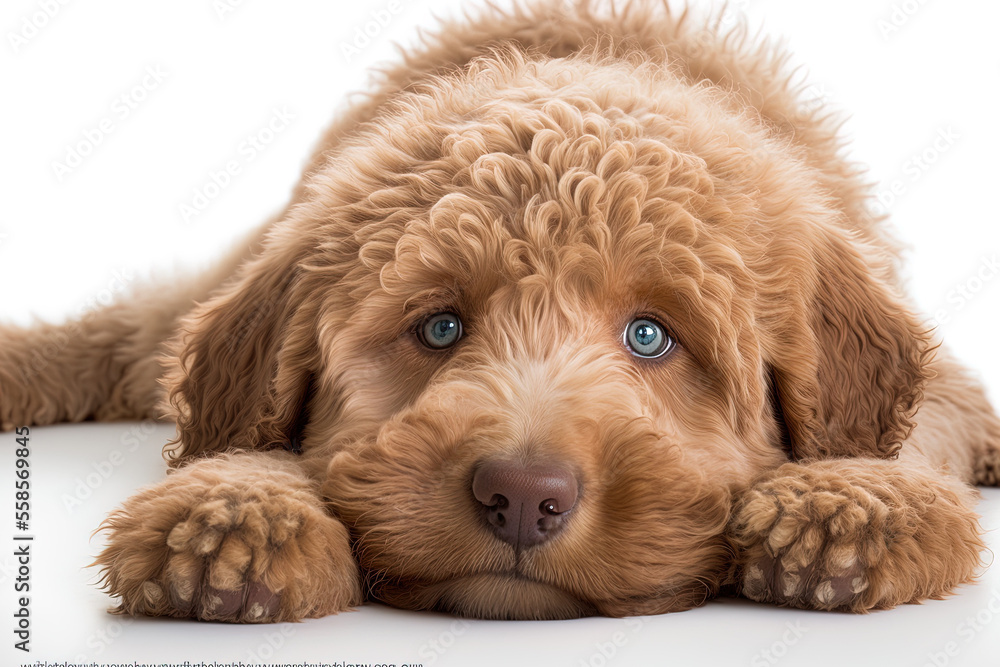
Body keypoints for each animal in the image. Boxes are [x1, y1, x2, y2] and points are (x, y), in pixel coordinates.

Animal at [1, 0, 1000, 624]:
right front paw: (235, 510)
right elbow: (236, 431)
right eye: (439, 327)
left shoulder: (925, 361)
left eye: (651, 336)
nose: (523, 497)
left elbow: (915, 424)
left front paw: (852, 503)